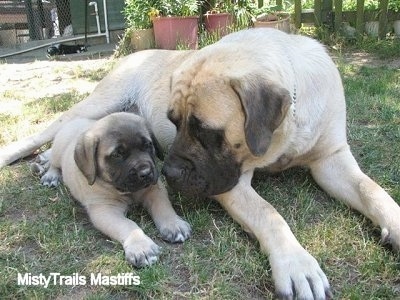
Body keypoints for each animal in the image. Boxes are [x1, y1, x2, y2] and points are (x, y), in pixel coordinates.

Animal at [33, 112, 192, 268]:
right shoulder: (105, 210)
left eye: (148, 145)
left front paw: (174, 225)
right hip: (58, 150)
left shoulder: (155, 190)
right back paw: (51, 176)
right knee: (54, 163)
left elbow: (164, 208)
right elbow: (128, 225)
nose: (146, 173)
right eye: (117, 154)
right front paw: (142, 247)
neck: (125, 190)